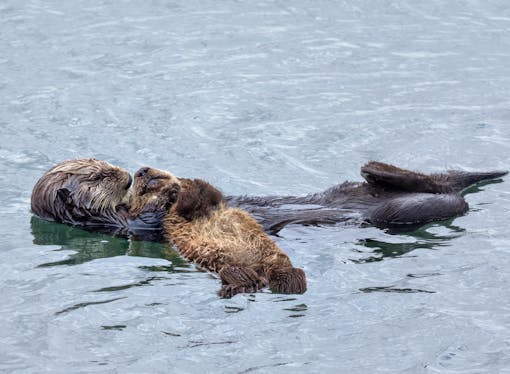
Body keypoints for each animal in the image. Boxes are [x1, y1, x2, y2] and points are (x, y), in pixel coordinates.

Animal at [131, 167, 306, 298]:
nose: (141, 171)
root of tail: (262, 275)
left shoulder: (212, 200)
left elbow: (205, 191)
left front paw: (179, 186)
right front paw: (172, 193)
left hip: (275, 260)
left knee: (291, 278)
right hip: (230, 267)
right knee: (246, 278)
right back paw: (234, 289)